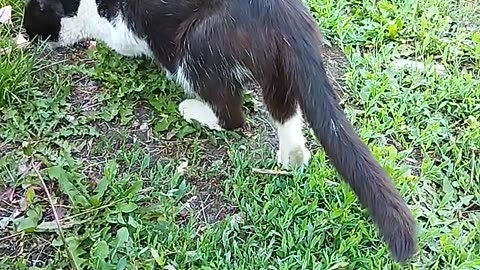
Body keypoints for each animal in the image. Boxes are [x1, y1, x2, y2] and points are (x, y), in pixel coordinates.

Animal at [23, 0, 416, 262]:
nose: (23, 36)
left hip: (199, 42)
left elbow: (124, 42)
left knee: (231, 115)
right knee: (286, 114)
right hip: (277, 64)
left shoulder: (127, 25)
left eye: (32, 17)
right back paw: (289, 158)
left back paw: (192, 109)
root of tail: (289, 18)